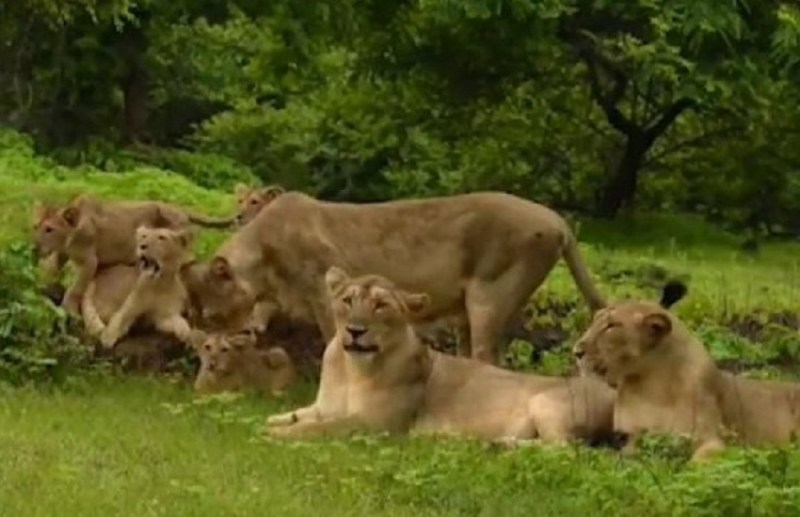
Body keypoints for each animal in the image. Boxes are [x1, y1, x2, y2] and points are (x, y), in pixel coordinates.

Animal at [32, 193, 235, 315]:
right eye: (35, 226)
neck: (70, 235)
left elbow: (76, 288)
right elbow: (51, 270)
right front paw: (43, 285)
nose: (34, 248)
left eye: (49, 229)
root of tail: (181, 210)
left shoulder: (90, 261)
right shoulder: (61, 254)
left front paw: (68, 309)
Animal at [185, 191, 605, 364]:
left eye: (213, 315)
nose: (210, 345)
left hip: (489, 297)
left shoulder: (322, 287)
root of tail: (557, 220)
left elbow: (333, 337)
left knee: (490, 358)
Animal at [264, 267, 615, 442]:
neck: (351, 369)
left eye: (381, 305)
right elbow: (302, 413)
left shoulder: (377, 424)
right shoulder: (325, 406)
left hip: (545, 404)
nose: (355, 330)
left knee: (564, 451)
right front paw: (271, 419)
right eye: (348, 300)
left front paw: (277, 434)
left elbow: (320, 428)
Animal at [573, 281, 800, 461]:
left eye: (611, 326)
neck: (647, 386)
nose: (576, 351)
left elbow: (697, 464)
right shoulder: (629, 437)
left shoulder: (713, 441)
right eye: (594, 321)